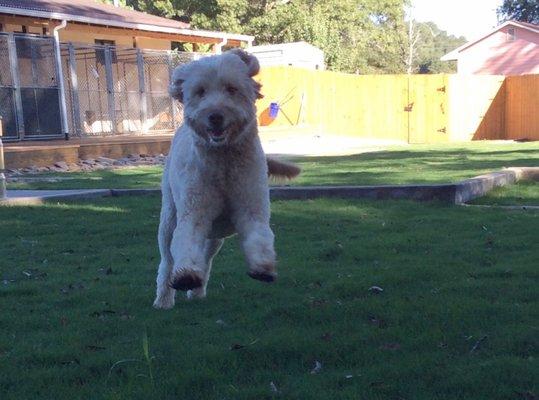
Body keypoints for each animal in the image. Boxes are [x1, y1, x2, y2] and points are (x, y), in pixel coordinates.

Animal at [153, 47, 300, 310]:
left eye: (232, 89)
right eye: (200, 91)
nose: (215, 115)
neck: (223, 167)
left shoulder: (252, 205)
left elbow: (259, 235)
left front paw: (263, 267)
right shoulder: (194, 210)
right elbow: (186, 239)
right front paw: (185, 275)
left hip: (215, 237)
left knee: (206, 258)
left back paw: (197, 290)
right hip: (169, 217)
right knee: (167, 259)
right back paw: (164, 298)